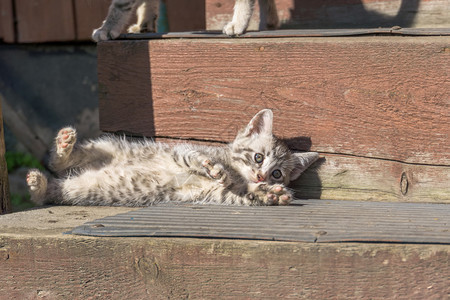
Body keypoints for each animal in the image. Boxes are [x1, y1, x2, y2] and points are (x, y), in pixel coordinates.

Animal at [26, 109, 318, 206]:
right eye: (258, 157)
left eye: (277, 173)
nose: (260, 176)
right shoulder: (181, 150)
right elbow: (196, 158)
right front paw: (213, 168)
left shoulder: (214, 193)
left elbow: (238, 194)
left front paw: (271, 194)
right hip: (105, 146)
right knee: (56, 162)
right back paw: (64, 145)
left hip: (79, 190)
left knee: (52, 190)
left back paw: (40, 185)